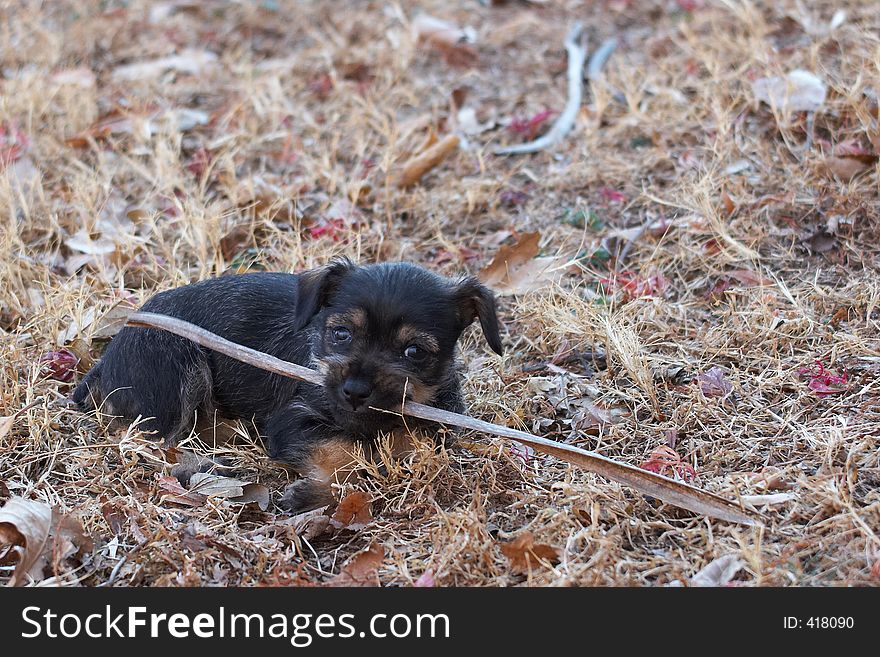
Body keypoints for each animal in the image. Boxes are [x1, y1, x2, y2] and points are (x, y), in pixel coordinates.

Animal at [70, 260, 502, 512]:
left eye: (414, 351)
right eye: (341, 334)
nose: (354, 391)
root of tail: (109, 355)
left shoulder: (439, 425)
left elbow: (412, 445)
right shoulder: (294, 419)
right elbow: (342, 450)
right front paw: (318, 491)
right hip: (176, 362)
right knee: (144, 439)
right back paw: (200, 464)